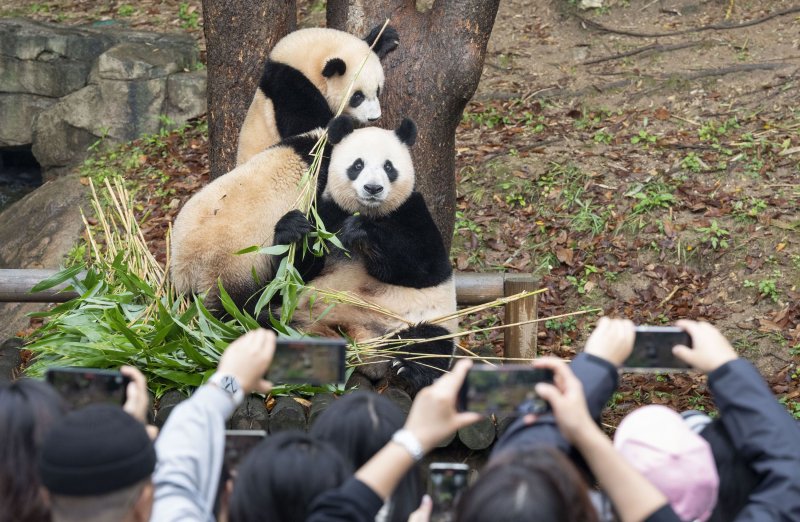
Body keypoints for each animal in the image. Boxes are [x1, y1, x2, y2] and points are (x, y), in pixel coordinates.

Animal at [236, 24, 400, 165]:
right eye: (357, 96)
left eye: (377, 91)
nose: (374, 117)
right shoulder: (290, 86)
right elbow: (308, 129)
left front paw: (385, 36)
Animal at [276, 116, 460, 392]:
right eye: (358, 164)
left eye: (389, 166)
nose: (373, 188)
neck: (367, 210)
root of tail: (368, 356)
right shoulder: (326, 213)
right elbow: (295, 271)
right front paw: (292, 229)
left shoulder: (412, 210)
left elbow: (424, 267)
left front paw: (360, 231)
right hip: (300, 316)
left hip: (426, 320)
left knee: (429, 344)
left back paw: (409, 368)